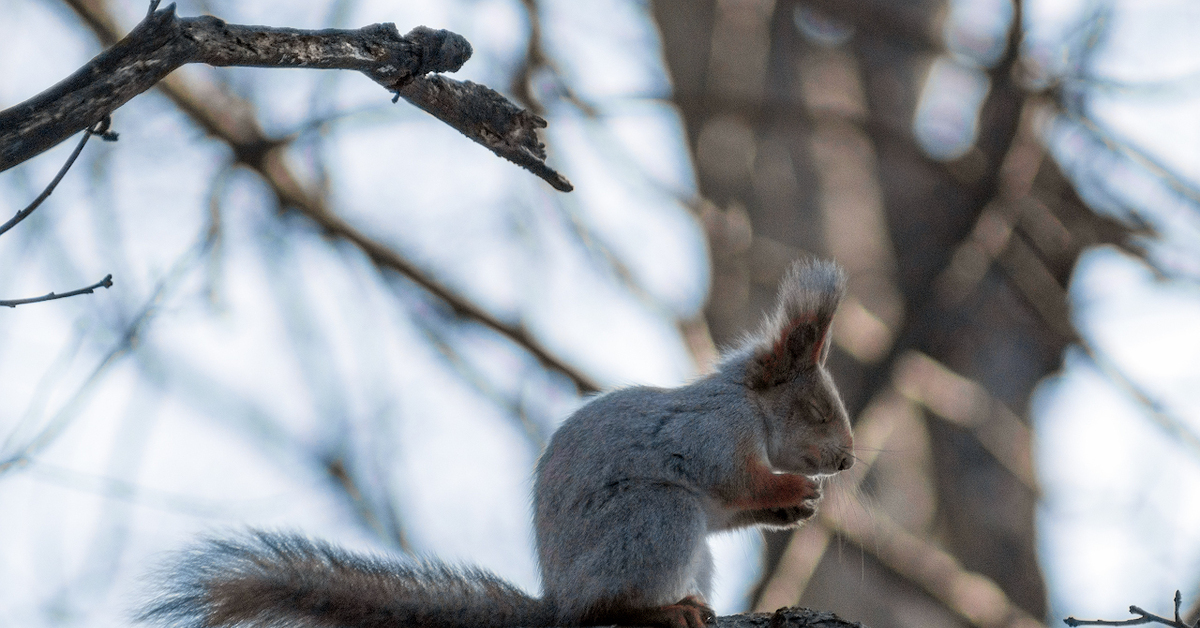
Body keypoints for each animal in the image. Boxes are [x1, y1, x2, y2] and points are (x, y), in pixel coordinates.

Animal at [140, 258, 854, 628]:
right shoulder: (713, 432)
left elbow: (735, 509)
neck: (750, 406)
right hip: (656, 519)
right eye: (817, 409)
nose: (847, 460)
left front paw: (795, 507)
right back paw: (660, 612)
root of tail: (556, 604)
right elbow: (736, 479)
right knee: (605, 608)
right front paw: (792, 488)